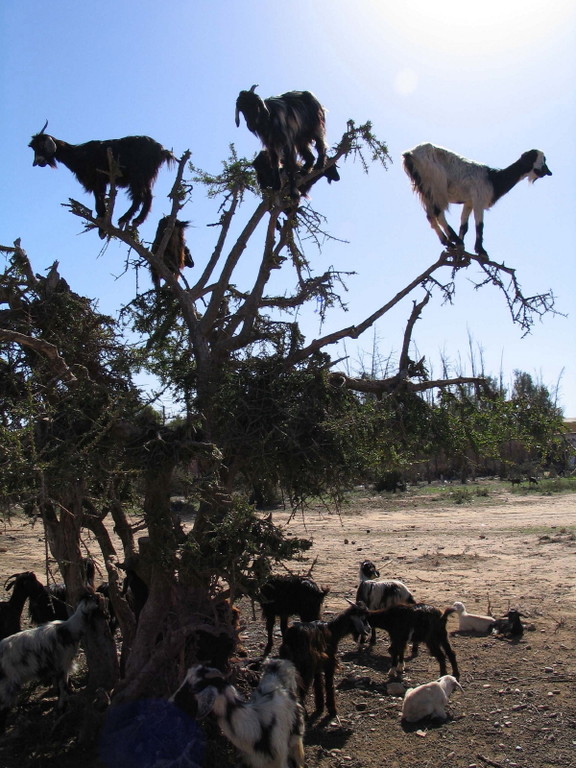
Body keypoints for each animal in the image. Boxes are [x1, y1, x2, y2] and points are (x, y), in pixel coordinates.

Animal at [0, 592, 101, 732]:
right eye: (94, 599)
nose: (98, 596)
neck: (69, 630)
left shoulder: (56, 667)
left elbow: (59, 687)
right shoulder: (64, 664)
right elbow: (63, 687)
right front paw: (62, 707)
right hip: (8, 683)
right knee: (3, 708)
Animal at [28, 121, 176, 237]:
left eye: (40, 146)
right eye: (33, 147)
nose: (36, 163)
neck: (79, 155)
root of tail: (161, 150)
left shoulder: (99, 178)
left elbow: (99, 198)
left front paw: (102, 227)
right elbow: (98, 197)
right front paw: (101, 220)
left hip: (139, 174)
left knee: (141, 196)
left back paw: (126, 219)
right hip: (145, 176)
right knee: (146, 196)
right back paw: (135, 220)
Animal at [402, 141, 552, 255]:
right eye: (539, 159)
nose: (547, 172)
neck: (493, 179)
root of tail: (410, 154)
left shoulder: (468, 202)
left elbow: (464, 226)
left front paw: (462, 249)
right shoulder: (479, 200)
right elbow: (479, 225)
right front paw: (480, 250)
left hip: (425, 190)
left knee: (431, 217)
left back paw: (449, 242)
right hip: (436, 185)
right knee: (439, 214)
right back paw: (453, 239)